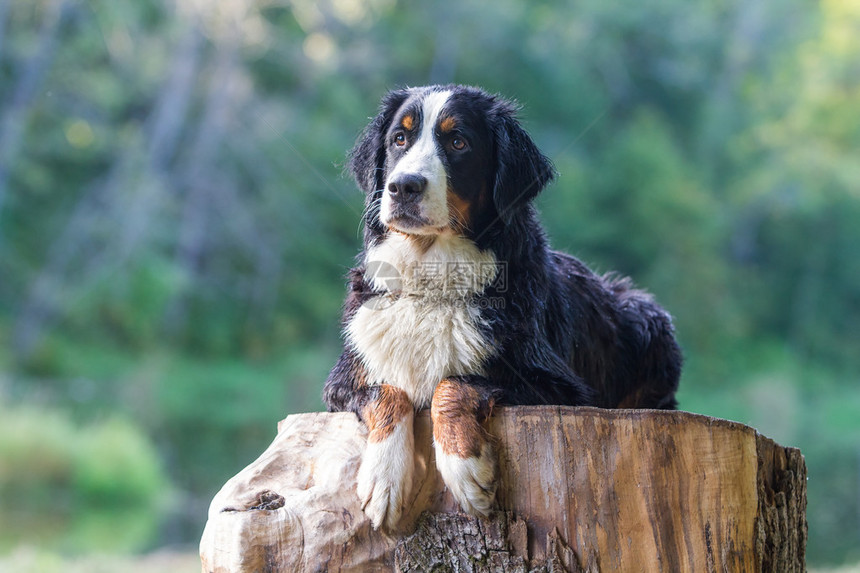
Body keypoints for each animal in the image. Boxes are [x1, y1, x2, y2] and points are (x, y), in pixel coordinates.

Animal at [320, 86, 680, 532]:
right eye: (399, 139)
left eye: (458, 142)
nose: (403, 186)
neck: (431, 277)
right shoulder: (344, 378)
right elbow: (387, 393)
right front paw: (383, 480)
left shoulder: (559, 388)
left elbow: (453, 384)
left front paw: (466, 470)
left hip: (646, 317)